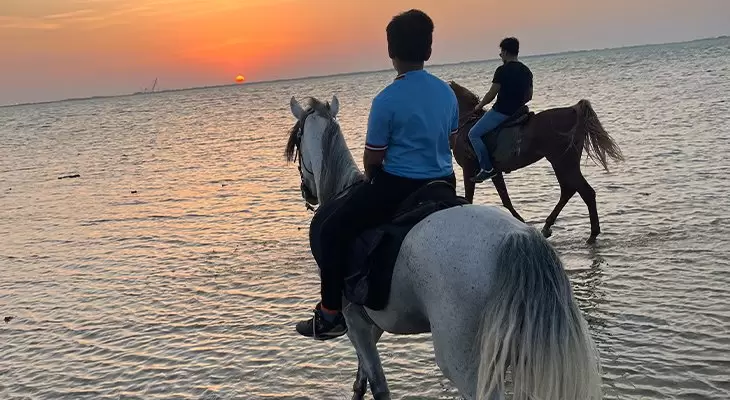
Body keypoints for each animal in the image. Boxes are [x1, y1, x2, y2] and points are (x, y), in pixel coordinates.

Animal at [282, 96, 600, 400]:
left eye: (297, 139)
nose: (307, 191)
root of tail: (520, 240)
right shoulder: (371, 323)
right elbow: (363, 376)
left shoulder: (355, 321)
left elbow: (378, 383)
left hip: (463, 361)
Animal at [446, 80, 624, 244]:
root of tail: (572, 111)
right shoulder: (494, 172)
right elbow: (505, 199)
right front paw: (521, 222)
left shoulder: (468, 170)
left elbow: (470, 199)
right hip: (563, 163)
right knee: (569, 190)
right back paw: (547, 227)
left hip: (562, 162)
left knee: (585, 192)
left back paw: (592, 235)